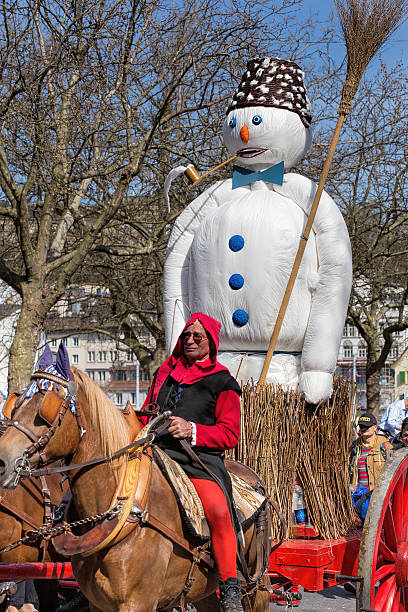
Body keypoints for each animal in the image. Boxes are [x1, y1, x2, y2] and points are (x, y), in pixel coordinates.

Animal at [0, 368, 270, 612]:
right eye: (16, 405)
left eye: (46, 407)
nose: (2, 461)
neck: (122, 506)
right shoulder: (99, 602)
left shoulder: (138, 602)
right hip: (204, 590)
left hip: (253, 586)